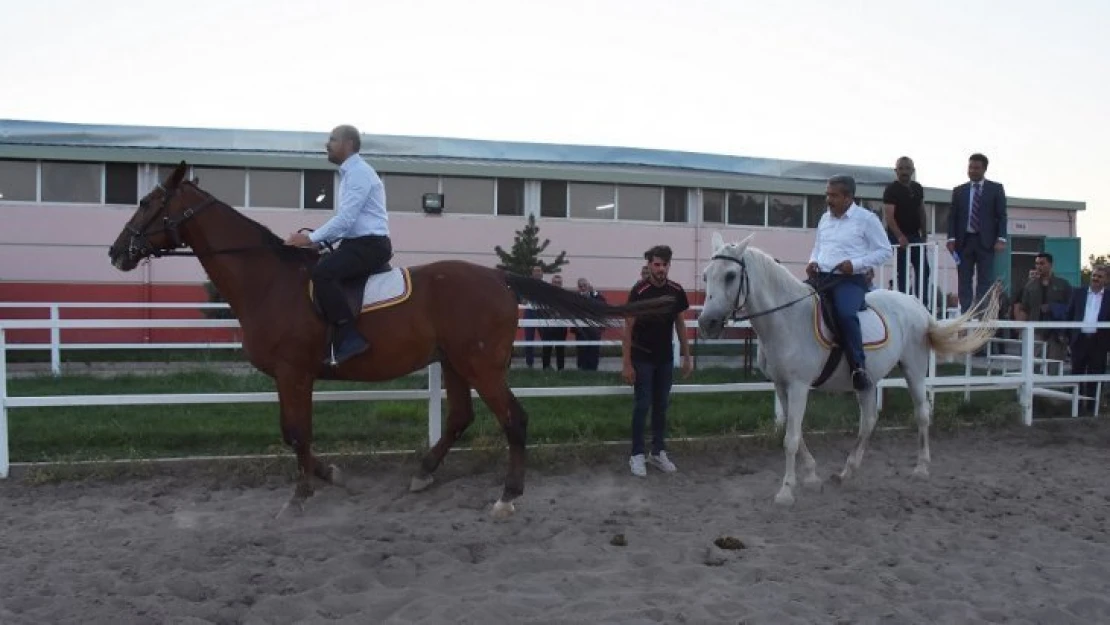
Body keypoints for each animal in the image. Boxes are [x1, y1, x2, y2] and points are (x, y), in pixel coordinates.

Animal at [106, 160, 674, 519]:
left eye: (149, 202)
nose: (116, 252)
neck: (270, 280)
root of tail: (499, 278)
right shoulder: (297, 376)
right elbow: (298, 434)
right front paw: (330, 475)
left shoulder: (293, 373)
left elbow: (295, 432)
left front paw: (301, 495)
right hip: (454, 363)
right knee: (461, 417)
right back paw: (424, 472)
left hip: (481, 365)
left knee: (513, 419)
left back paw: (508, 495)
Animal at [697, 232, 1003, 506]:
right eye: (706, 276)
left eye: (730, 276)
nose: (706, 323)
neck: (787, 320)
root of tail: (915, 303)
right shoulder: (782, 386)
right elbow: (795, 433)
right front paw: (812, 476)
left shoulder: (798, 386)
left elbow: (791, 439)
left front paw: (786, 491)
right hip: (866, 382)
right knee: (868, 421)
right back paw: (847, 471)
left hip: (914, 370)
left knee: (922, 414)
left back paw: (921, 468)